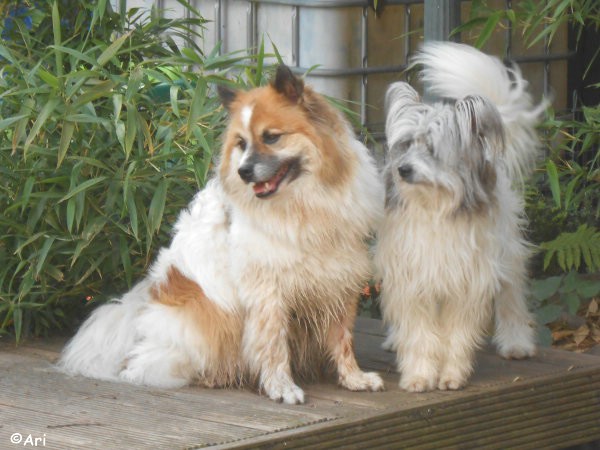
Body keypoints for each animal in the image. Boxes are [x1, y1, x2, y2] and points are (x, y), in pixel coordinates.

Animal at [61, 65, 384, 402]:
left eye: (271, 137)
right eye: (241, 143)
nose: (243, 172)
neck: (303, 202)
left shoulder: (338, 276)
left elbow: (342, 337)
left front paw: (354, 378)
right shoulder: (267, 289)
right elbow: (273, 343)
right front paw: (282, 387)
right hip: (206, 326)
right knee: (141, 368)